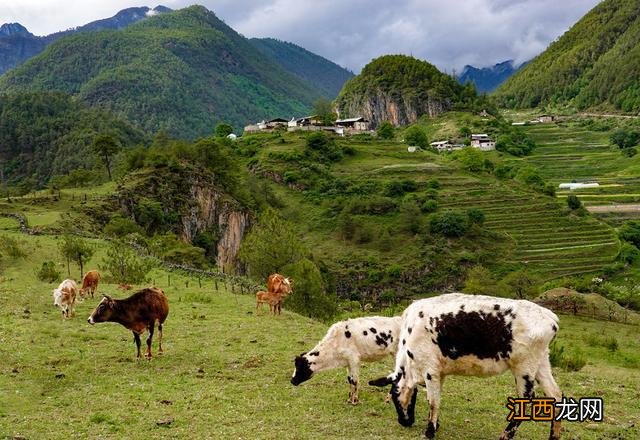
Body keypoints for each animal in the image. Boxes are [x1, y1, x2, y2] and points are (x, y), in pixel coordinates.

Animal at [368, 292, 564, 440]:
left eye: (394, 397)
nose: (403, 422)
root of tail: (550, 317)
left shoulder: (430, 371)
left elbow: (433, 401)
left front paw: (429, 431)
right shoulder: (439, 373)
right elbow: (437, 398)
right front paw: (435, 425)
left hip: (524, 366)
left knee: (527, 400)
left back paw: (506, 435)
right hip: (541, 363)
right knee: (556, 395)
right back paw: (553, 436)